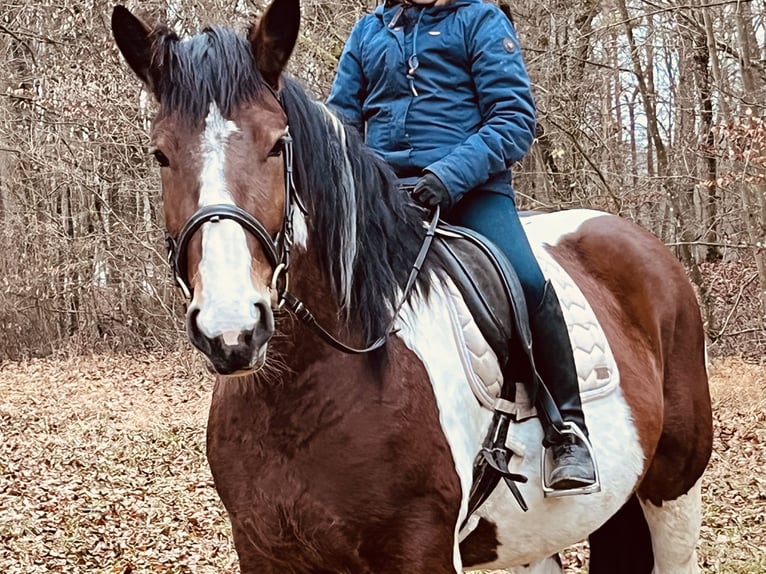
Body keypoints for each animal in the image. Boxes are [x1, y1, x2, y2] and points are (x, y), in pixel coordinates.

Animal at [112, 1, 712, 574]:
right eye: (160, 154)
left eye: (278, 144)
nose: (232, 329)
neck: (307, 392)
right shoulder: (263, 550)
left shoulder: (420, 550)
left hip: (673, 496)